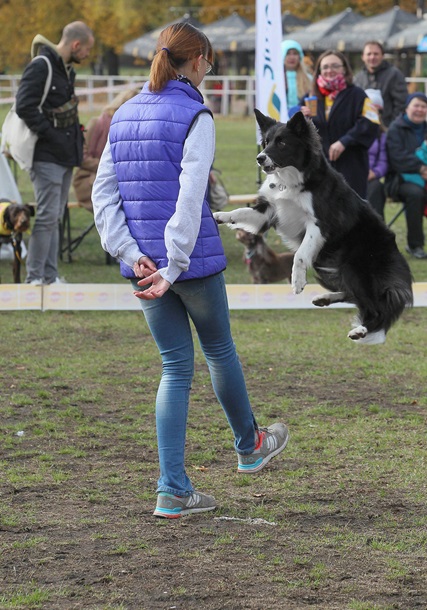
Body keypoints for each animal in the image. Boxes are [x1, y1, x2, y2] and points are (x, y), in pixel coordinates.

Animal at [216, 108, 412, 342]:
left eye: (282, 143)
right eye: (265, 142)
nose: (260, 158)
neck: (291, 179)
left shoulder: (319, 224)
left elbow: (300, 255)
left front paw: (298, 282)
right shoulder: (268, 211)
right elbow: (241, 212)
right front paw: (219, 216)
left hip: (355, 267)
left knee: (376, 305)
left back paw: (362, 329)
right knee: (355, 295)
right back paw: (326, 299)